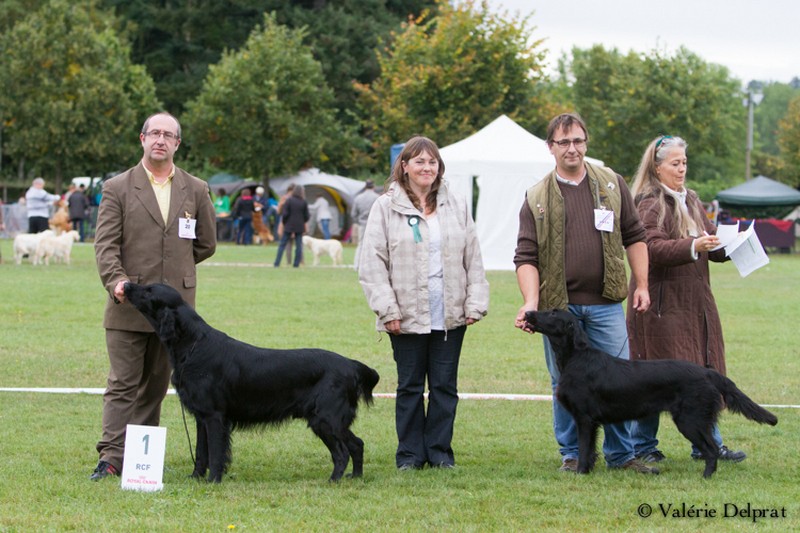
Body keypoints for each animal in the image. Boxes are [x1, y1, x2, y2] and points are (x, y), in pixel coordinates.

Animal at [123, 282, 380, 482]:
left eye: (149, 290)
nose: (125, 285)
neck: (193, 346)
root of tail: (351, 364)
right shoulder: (201, 417)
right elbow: (201, 452)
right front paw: (195, 478)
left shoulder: (215, 416)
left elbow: (215, 453)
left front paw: (213, 480)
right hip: (331, 420)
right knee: (357, 444)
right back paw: (355, 477)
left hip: (326, 419)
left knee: (342, 452)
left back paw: (334, 480)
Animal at [524, 308, 776, 478]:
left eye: (553, 313)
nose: (528, 312)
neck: (575, 356)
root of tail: (708, 373)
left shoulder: (585, 418)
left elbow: (585, 448)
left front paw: (581, 473)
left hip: (690, 419)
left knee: (712, 450)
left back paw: (705, 477)